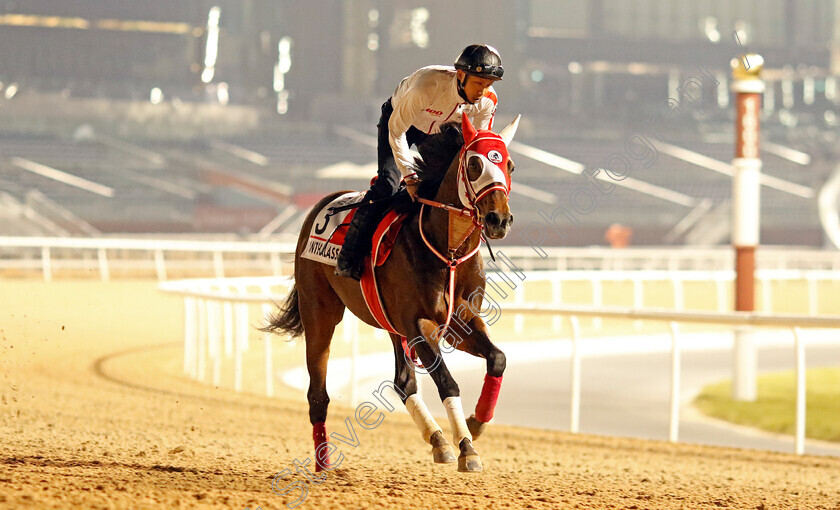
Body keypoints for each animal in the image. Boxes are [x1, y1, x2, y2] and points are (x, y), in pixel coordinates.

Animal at [264, 112, 520, 474]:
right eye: (474, 163)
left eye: (509, 165)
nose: (499, 219)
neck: (449, 251)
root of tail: (321, 204)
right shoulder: (419, 325)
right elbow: (447, 381)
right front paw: (466, 448)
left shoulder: (460, 323)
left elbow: (497, 359)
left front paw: (475, 423)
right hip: (320, 312)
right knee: (318, 393)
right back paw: (323, 464)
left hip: (390, 324)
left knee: (403, 381)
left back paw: (437, 439)